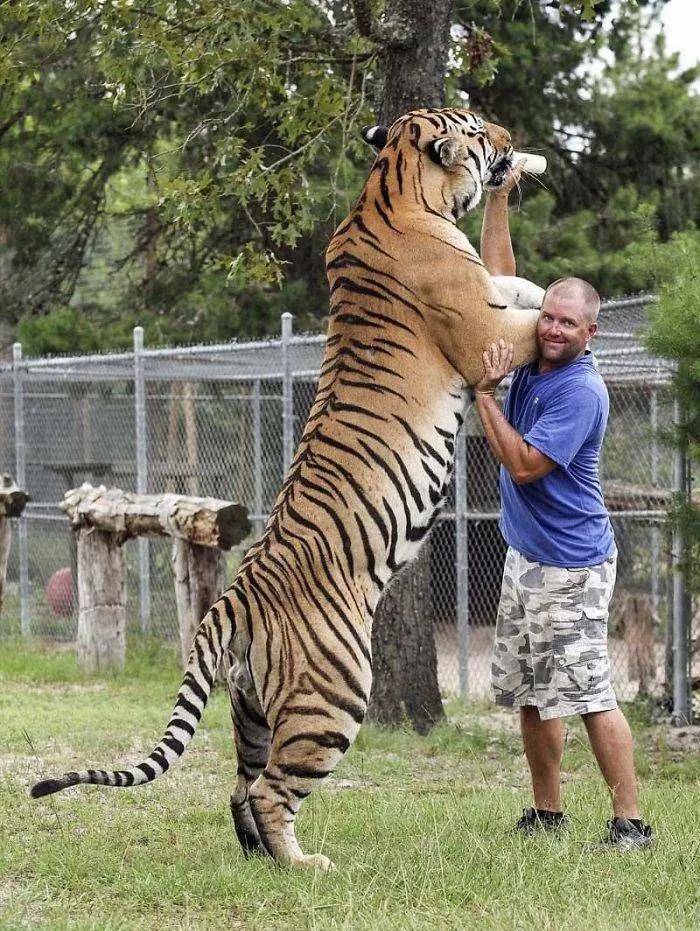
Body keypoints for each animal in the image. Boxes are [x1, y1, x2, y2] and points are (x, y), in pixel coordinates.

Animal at [30, 109, 544, 872]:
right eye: (479, 128)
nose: (511, 140)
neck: (393, 187)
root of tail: (231, 601)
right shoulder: (483, 332)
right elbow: (531, 321)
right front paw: (579, 311)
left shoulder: (489, 293)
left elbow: (520, 286)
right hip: (333, 697)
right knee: (272, 790)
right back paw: (303, 865)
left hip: (251, 710)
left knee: (240, 785)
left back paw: (260, 860)